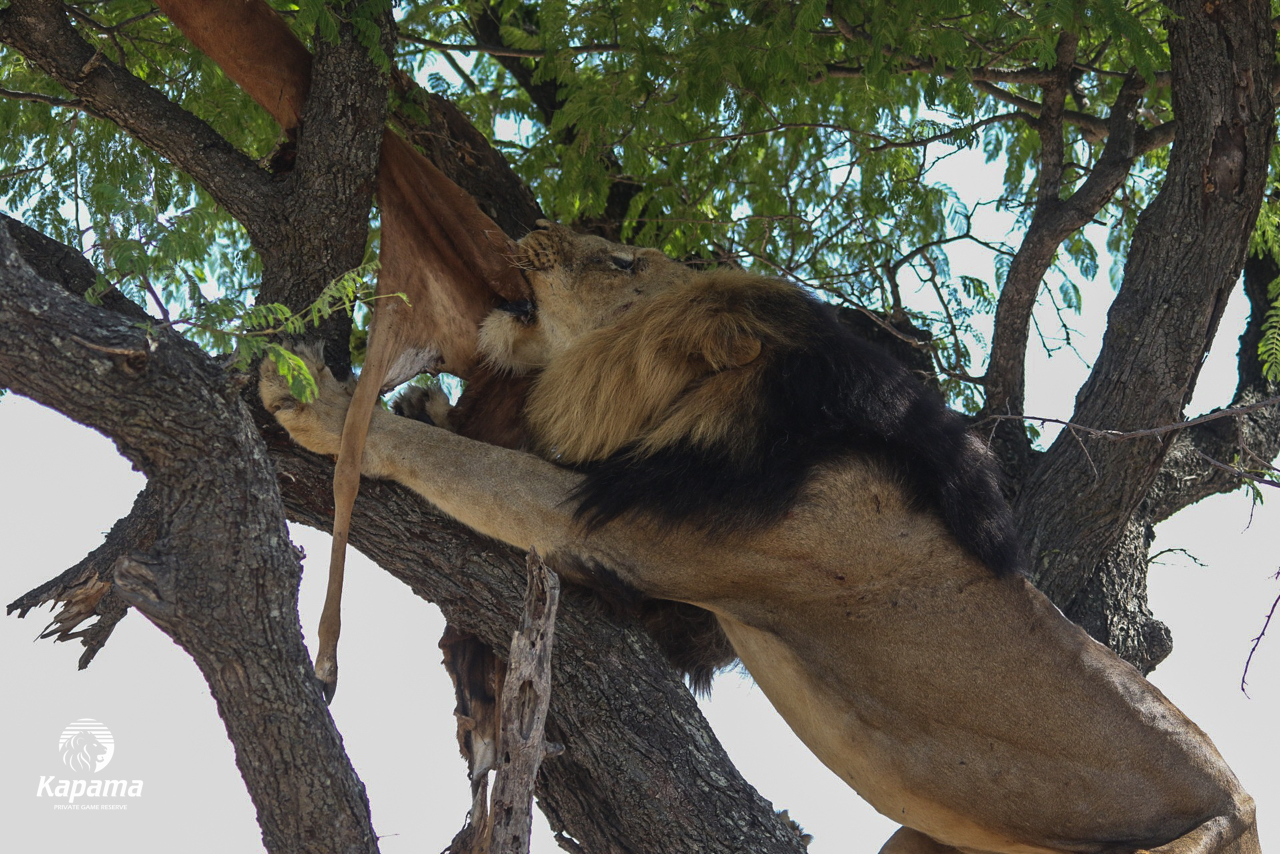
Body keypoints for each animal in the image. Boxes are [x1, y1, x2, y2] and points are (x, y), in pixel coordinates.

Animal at [261, 221, 1260, 854]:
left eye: (619, 260)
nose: (529, 224)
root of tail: (1245, 803)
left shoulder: (624, 527)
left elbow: (459, 463)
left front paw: (318, 401)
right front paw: (422, 402)